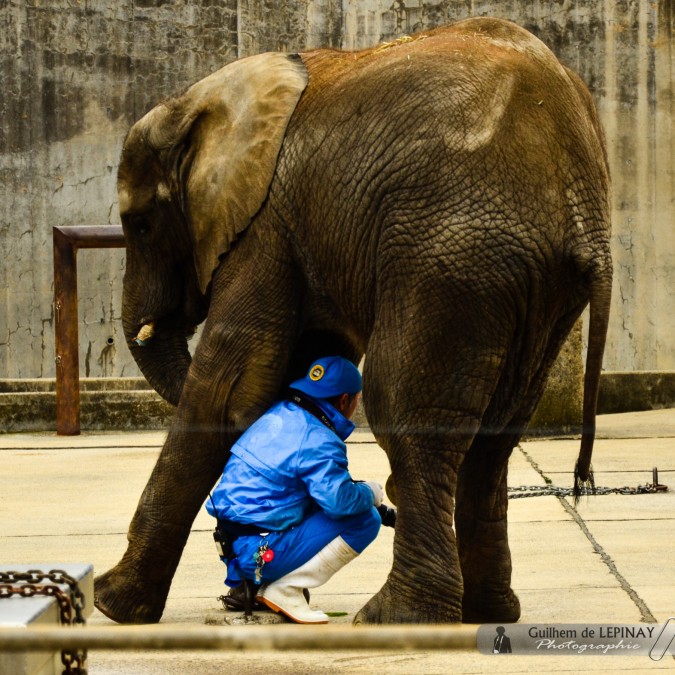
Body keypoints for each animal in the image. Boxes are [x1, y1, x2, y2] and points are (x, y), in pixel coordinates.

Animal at [93, 15, 612, 624]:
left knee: (405, 414)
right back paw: (487, 613)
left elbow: (229, 386)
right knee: (496, 435)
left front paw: (110, 605)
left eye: (140, 224)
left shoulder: (266, 223)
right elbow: (290, 363)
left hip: (450, 255)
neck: (199, 100)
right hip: (535, 286)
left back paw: (397, 616)